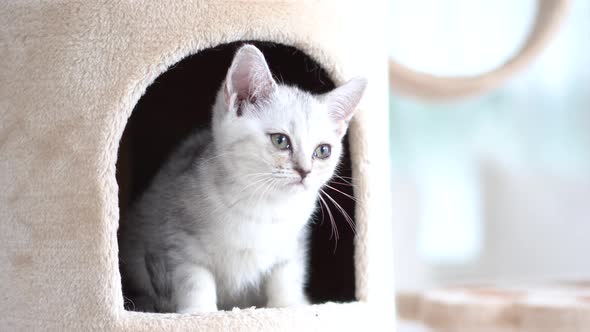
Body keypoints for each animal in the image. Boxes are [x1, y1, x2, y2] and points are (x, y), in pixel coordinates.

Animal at [119, 44, 368, 314]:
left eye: (323, 151)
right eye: (280, 140)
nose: (305, 171)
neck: (263, 207)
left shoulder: (292, 244)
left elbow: (286, 274)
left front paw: (288, 305)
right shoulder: (176, 235)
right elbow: (193, 278)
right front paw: (198, 311)